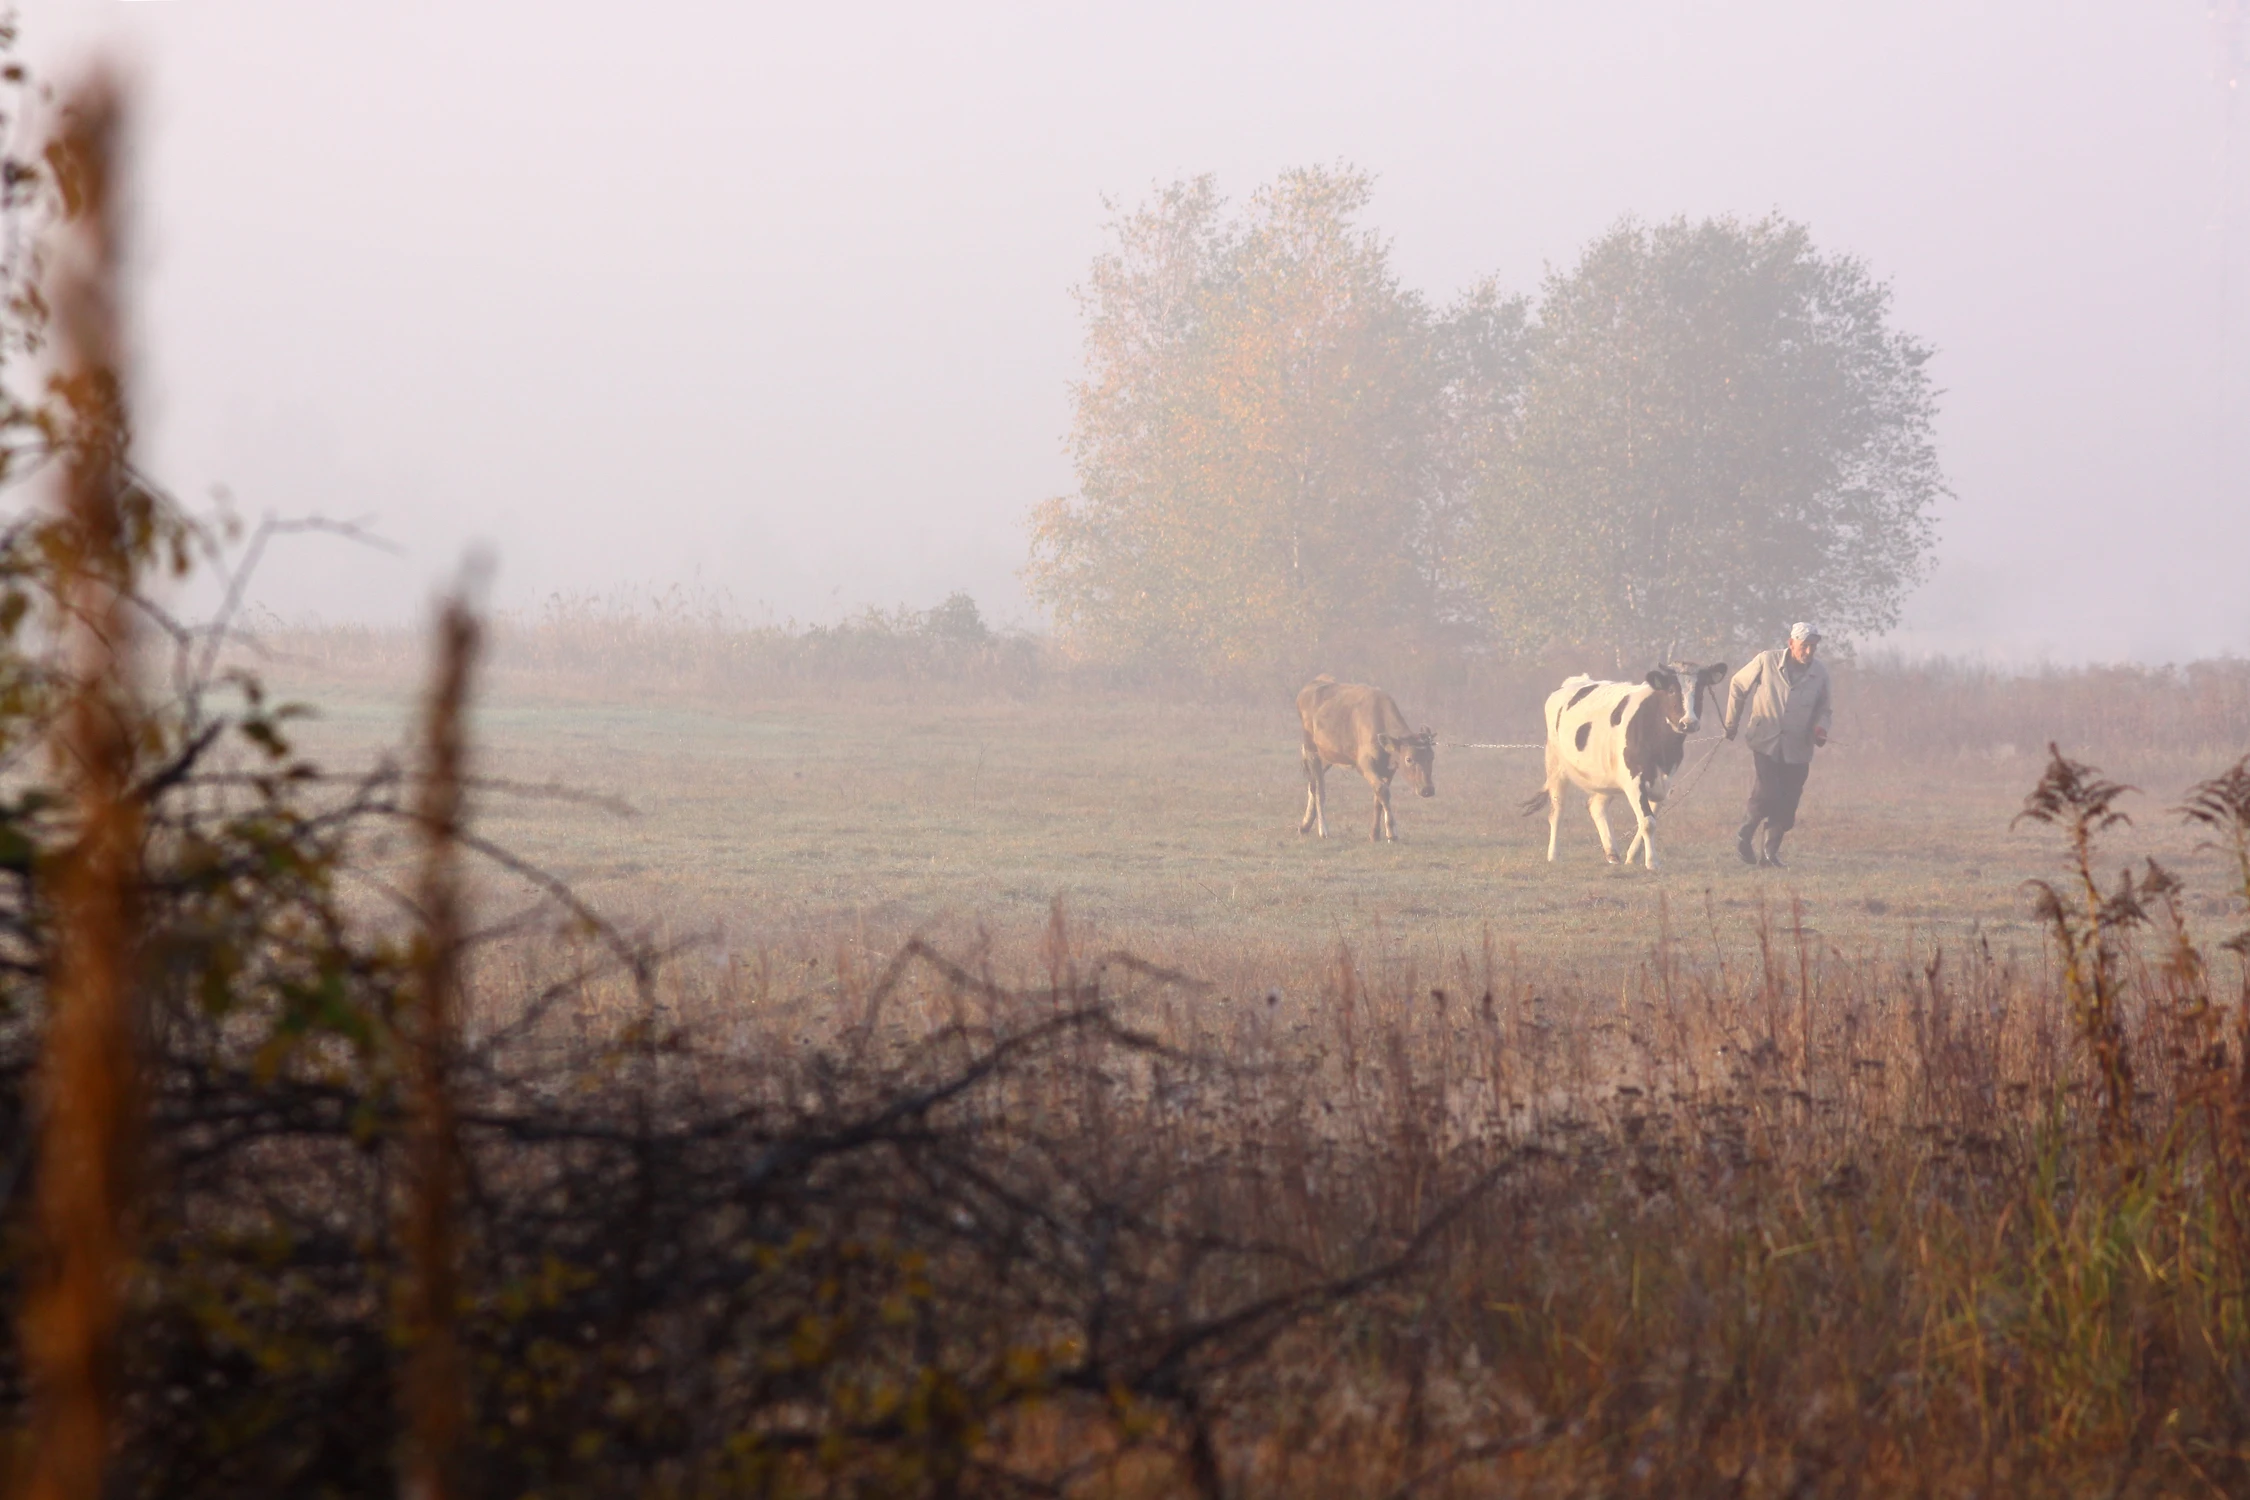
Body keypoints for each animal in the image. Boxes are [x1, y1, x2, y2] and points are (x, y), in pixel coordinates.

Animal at [1296, 679, 1431, 845]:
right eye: (1409, 759)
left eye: (1431, 757)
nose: (1428, 789)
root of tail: (1311, 685)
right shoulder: (1365, 765)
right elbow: (1383, 791)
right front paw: (1391, 832)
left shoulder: (1388, 770)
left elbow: (1378, 798)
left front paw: (1374, 834)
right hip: (1312, 751)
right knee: (1319, 789)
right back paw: (1323, 830)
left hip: (1326, 757)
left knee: (1312, 784)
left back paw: (1305, 826)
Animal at [1521, 661, 1728, 868]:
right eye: (1671, 690)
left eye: (1701, 689)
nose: (1689, 723)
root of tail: (1573, 682)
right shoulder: (1633, 780)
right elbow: (1648, 822)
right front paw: (1652, 862)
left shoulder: (1663, 781)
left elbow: (1649, 818)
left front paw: (1633, 855)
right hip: (1556, 765)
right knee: (1557, 810)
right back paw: (1554, 855)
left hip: (1605, 774)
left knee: (1596, 806)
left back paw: (1612, 853)